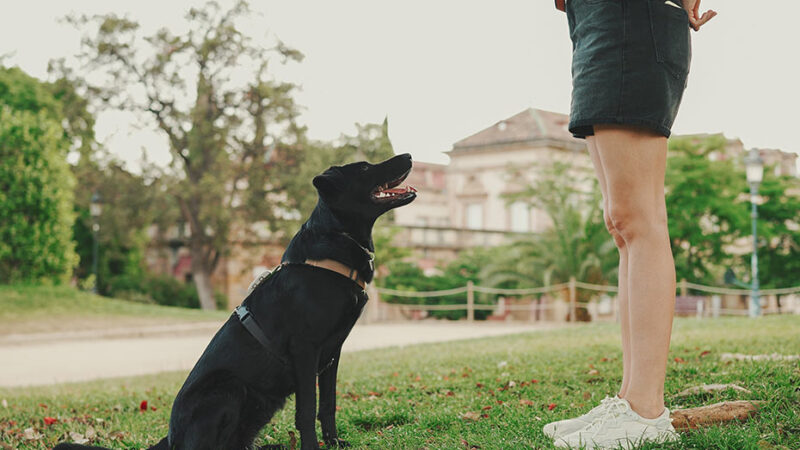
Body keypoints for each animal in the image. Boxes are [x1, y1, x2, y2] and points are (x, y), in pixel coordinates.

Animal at [54, 154, 418, 450]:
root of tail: (170, 438)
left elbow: (327, 405)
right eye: (365, 168)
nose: (409, 155)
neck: (333, 244)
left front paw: (333, 442)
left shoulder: (332, 353)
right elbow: (307, 409)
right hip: (229, 388)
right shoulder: (306, 349)